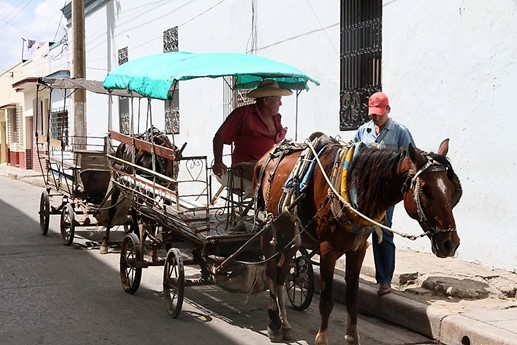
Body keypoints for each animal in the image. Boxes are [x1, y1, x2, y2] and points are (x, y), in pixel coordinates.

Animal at [254, 136, 460, 342]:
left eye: (450, 189)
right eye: (425, 190)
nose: (450, 243)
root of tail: (265, 157)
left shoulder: (358, 249)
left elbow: (353, 297)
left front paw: (352, 338)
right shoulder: (328, 249)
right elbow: (326, 299)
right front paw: (322, 338)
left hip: (291, 235)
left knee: (281, 272)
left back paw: (285, 324)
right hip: (267, 227)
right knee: (271, 272)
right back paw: (274, 323)